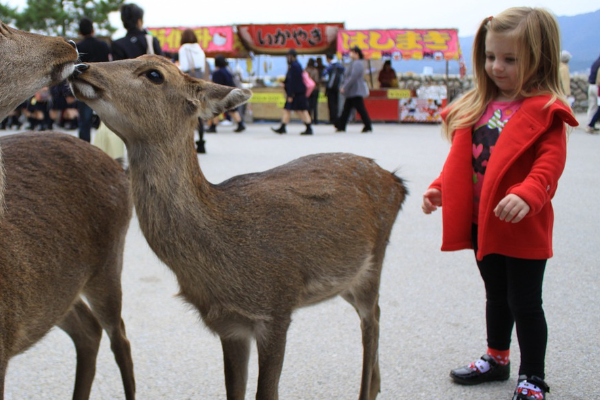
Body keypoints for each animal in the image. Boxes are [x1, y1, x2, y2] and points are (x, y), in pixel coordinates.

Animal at [0, 22, 136, 400]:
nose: (70, 42)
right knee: (87, 329)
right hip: (57, 285)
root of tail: (120, 168)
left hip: (109, 262)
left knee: (118, 335)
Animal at [69, 54, 408, 400]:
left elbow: (266, 393)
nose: (81, 66)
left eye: (154, 74)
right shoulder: (230, 325)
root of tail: (396, 182)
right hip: (347, 281)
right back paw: (378, 384)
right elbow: (234, 390)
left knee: (371, 319)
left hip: (374, 261)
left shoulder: (277, 308)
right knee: (376, 314)